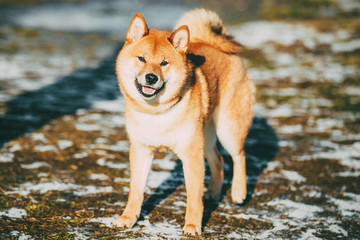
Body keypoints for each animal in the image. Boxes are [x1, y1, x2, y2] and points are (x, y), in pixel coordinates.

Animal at [113, 8, 256, 234]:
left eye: (164, 63)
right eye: (141, 58)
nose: (151, 78)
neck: (156, 112)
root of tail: (216, 45)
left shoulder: (191, 155)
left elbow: (193, 198)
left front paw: (192, 225)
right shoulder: (142, 151)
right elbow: (135, 190)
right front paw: (128, 218)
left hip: (228, 129)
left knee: (238, 155)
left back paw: (238, 192)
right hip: (205, 136)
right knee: (218, 159)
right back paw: (214, 192)